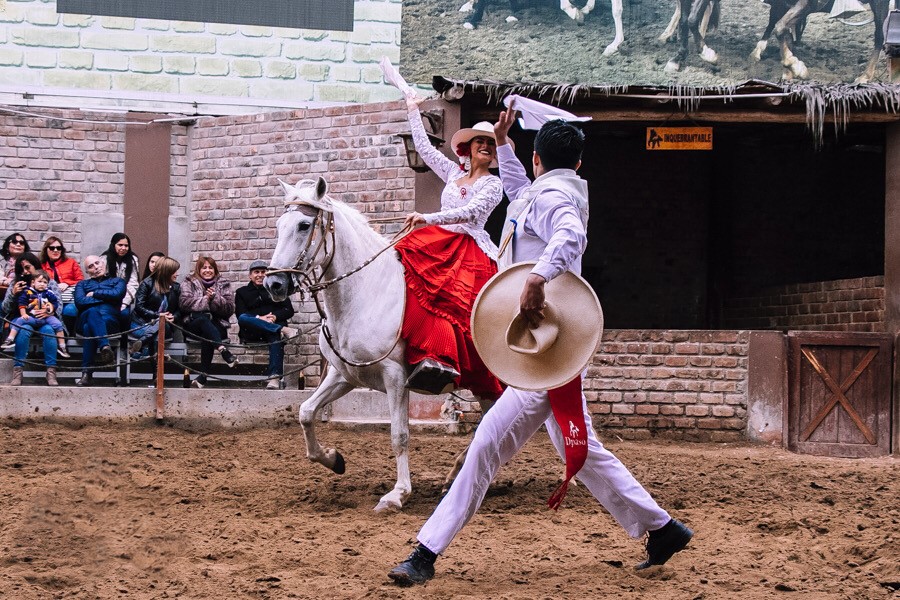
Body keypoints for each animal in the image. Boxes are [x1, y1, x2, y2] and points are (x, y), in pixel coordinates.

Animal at [264, 177, 412, 510]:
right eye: (279, 225)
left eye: (305, 225)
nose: (273, 284)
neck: (368, 294)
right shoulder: (344, 375)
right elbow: (306, 412)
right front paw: (333, 459)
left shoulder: (396, 377)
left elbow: (399, 434)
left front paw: (398, 493)